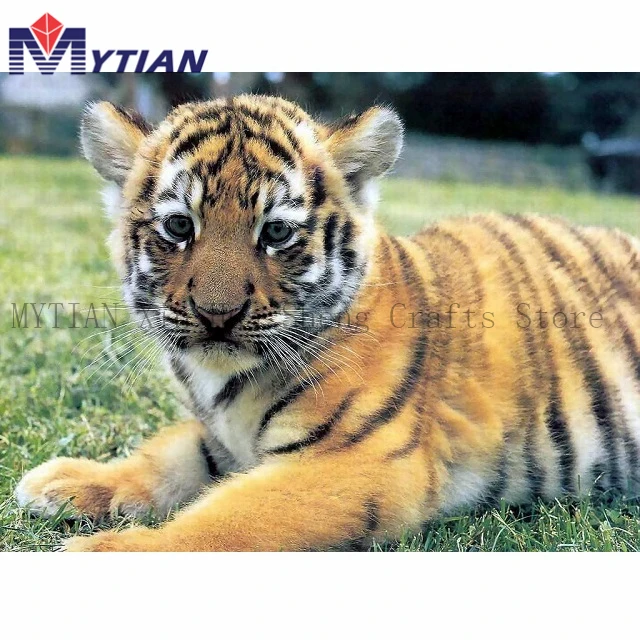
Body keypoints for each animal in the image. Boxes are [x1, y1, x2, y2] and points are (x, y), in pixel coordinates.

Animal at [14, 94, 640, 551]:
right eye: (178, 227)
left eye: (275, 232)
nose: (218, 315)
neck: (225, 383)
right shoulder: (220, 437)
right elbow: (167, 456)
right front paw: (67, 482)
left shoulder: (353, 461)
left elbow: (225, 520)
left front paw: (104, 552)